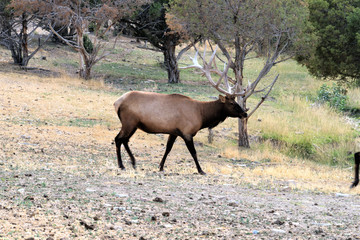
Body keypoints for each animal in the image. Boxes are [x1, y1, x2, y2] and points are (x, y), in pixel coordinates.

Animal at [114, 91, 248, 173]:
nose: (244, 113)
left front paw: (161, 167)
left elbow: (168, 149)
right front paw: (201, 170)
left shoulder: (174, 132)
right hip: (129, 123)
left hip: (134, 125)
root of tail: (117, 102)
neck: (202, 115)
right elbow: (193, 152)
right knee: (118, 139)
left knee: (125, 140)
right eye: (232, 103)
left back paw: (133, 162)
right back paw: (121, 165)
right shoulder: (187, 133)